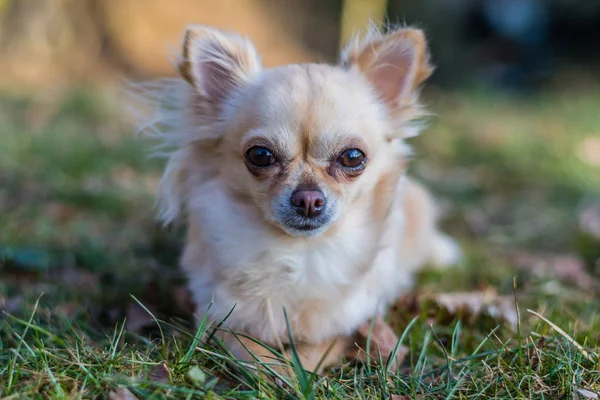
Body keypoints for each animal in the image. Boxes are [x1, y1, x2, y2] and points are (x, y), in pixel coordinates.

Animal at [138, 23, 462, 374]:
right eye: (261, 155)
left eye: (352, 157)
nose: (308, 199)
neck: (299, 255)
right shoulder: (217, 318)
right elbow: (247, 347)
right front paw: (272, 369)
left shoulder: (347, 323)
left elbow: (312, 350)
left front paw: (290, 372)